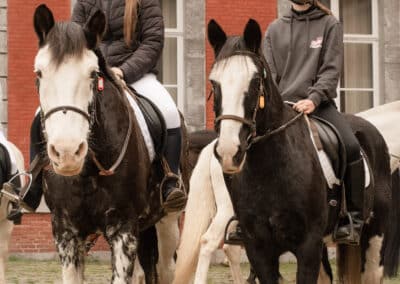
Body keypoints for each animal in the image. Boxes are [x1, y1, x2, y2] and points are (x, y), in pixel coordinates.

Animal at [206, 18, 400, 282]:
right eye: (214, 82)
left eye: (255, 81)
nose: (229, 150)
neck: (270, 170)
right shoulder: (259, 249)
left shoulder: (308, 245)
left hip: (373, 240)